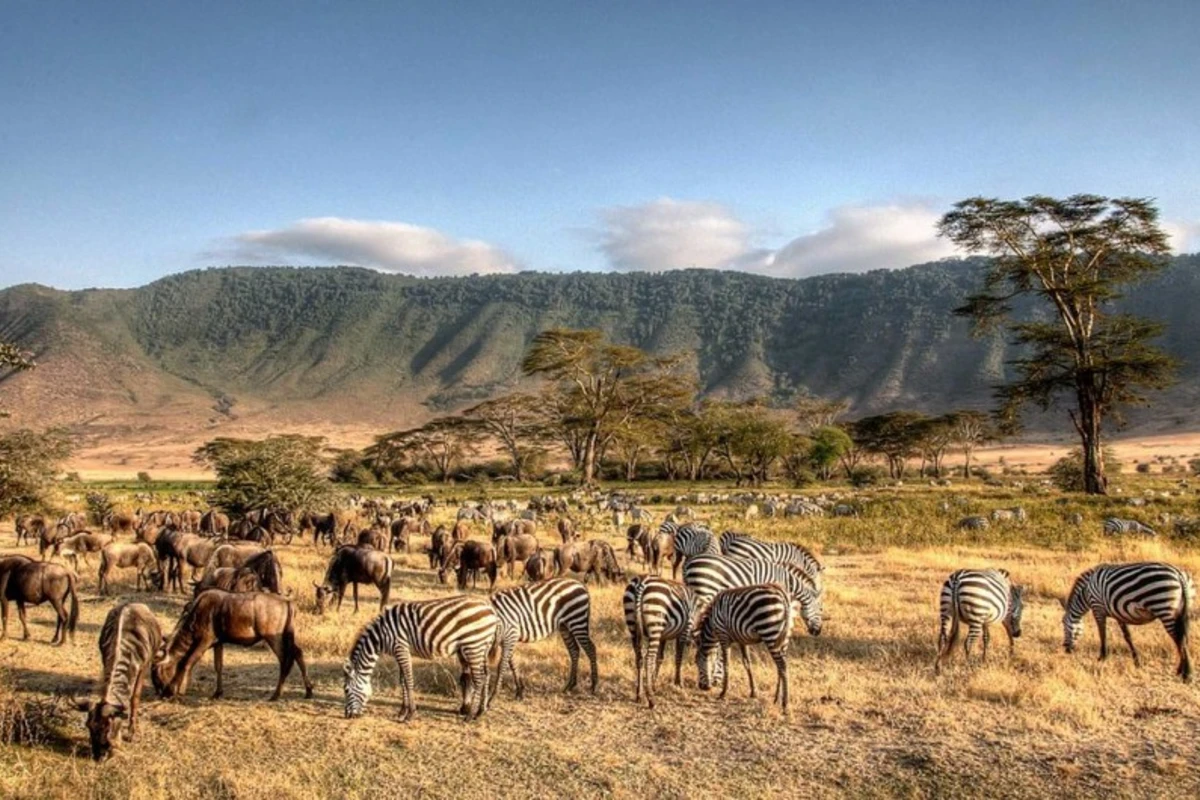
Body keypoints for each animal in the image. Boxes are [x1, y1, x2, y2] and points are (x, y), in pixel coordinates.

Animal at [345, 594, 499, 719]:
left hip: (473, 645)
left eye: (346, 690)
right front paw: (402, 711)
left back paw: (470, 715)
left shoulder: (401, 648)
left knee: (479, 679)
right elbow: (402, 681)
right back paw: (480, 711)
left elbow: (408, 680)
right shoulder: (401, 651)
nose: (348, 716)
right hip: (482, 647)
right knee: (486, 675)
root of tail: (490, 609)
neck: (381, 636)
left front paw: (410, 713)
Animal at [619, 575, 710, 705]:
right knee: (649, 659)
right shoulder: (685, 629)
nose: (707, 688)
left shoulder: (663, 636)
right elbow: (679, 657)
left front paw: (654, 683)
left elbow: (660, 658)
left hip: (633, 625)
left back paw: (639, 695)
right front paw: (678, 682)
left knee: (639, 658)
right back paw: (651, 699)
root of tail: (642, 581)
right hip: (655, 624)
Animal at [1065, 563, 1195, 681]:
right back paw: (1181, 670)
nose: (1066, 649)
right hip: (1181, 611)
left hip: (1164, 608)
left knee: (1180, 640)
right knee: (1183, 639)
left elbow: (1102, 634)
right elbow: (1127, 636)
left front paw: (1102, 657)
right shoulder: (1118, 613)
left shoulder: (1098, 608)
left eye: (1064, 627)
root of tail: (1179, 575)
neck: (1086, 592)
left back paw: (1187, 674)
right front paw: (1137, 661)